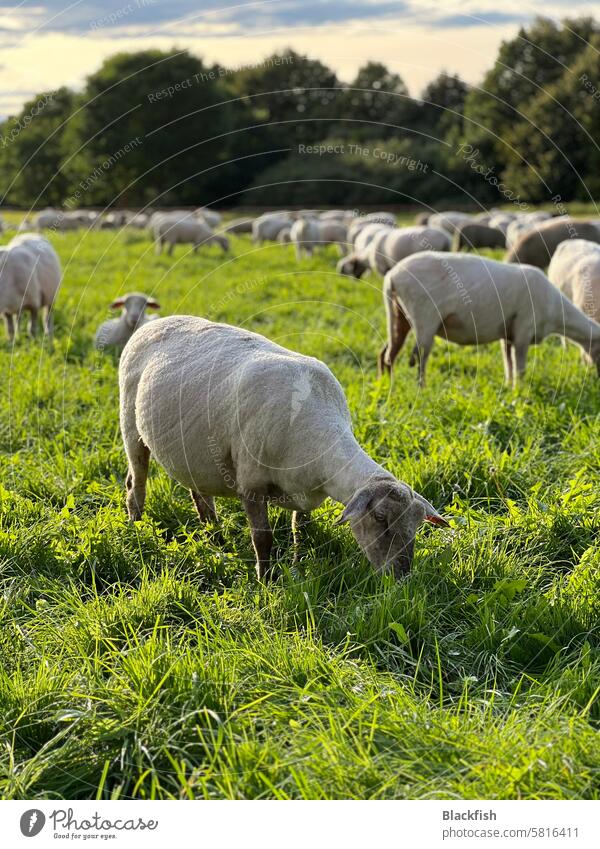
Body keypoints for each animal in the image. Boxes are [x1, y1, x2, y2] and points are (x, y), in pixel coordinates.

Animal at [378, 250, 600, 386]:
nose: (597, 377)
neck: (555, 313)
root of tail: (392, 276)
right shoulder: (523, 329)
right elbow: (520, 368)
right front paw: (520, 392)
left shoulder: (508, 333)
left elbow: (508, 362)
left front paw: (509, 387)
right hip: (425, 317)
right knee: (420, 357)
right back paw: (421, 390)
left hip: (398, 315)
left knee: (387, 353)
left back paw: (387, 386)